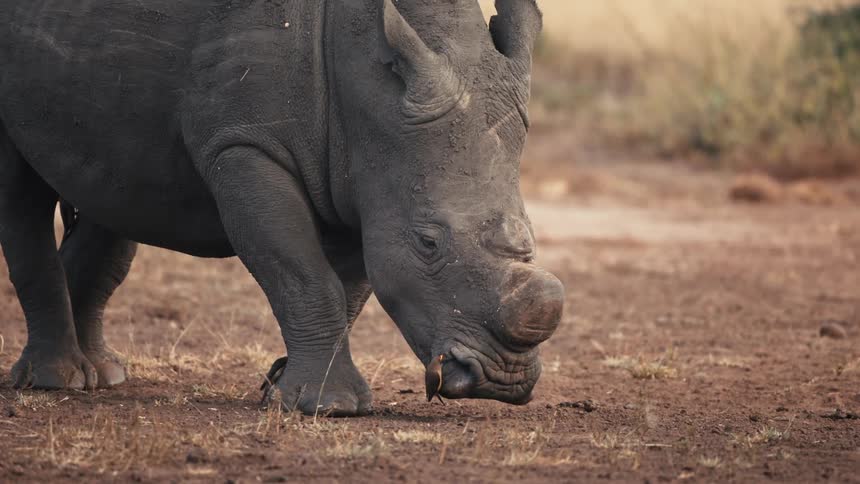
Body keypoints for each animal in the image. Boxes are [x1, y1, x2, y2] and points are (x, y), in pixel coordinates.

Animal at [0, 0, 564, 416]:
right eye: (427, 242)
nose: (501, 381)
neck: (371, 83)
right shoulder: (245, 144)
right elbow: (302, 273)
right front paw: (330, 408)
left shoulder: (363, 173)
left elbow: (347, 286)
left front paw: (283, 391)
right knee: (24, 199)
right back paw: (58, 382)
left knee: (115, 194)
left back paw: (103, 375)